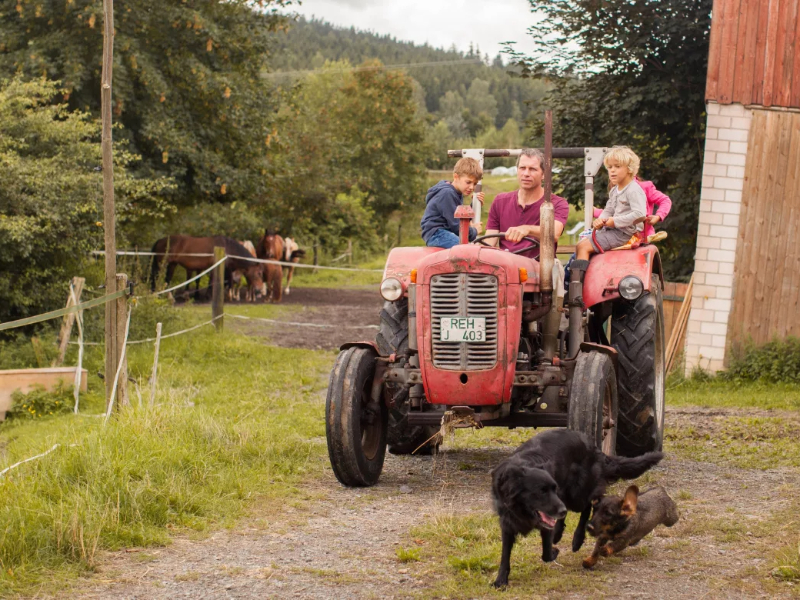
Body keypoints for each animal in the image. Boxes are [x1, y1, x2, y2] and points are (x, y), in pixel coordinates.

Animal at [490, 428, 664, 588]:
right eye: (541, 491)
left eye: (553, 488)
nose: (561, 511)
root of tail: (593, 446)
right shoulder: (507, 523)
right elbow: (505, 555)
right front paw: (500, 580)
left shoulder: (547, 518)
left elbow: (546, 554)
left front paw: (554, 551)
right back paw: (559, 532)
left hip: (576, 494)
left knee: (587, 506)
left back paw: (577, 539)